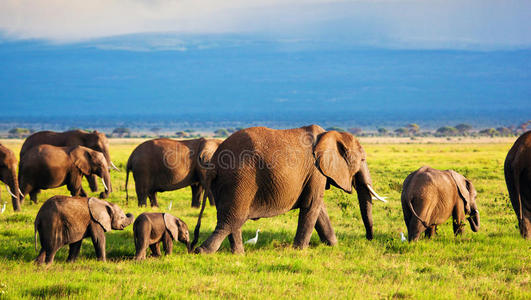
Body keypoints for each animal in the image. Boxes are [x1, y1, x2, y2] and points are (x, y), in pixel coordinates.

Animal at [191, 124, 386, 253]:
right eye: (362, 160)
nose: (369, 238)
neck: (331, 134)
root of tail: (214, 162)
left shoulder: (314, 175)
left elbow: (320, 210)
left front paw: (333, 246)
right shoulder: (316, 171)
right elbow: (312, 206)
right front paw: (299, 251)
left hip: (226, 183)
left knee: (233, 219)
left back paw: (238, 254)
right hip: (240, 180)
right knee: (231, 219)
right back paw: (203, 251)